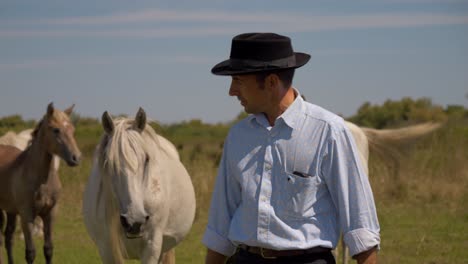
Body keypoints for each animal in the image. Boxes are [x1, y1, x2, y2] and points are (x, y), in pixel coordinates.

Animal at [0, 103, 80, 264]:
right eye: (56, 130)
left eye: (72, 129)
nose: (76, 158)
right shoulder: (27, 216)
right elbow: (30, 252)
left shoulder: (50, 214)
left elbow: (48, 249)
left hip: (10, 210)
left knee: (8, 238)